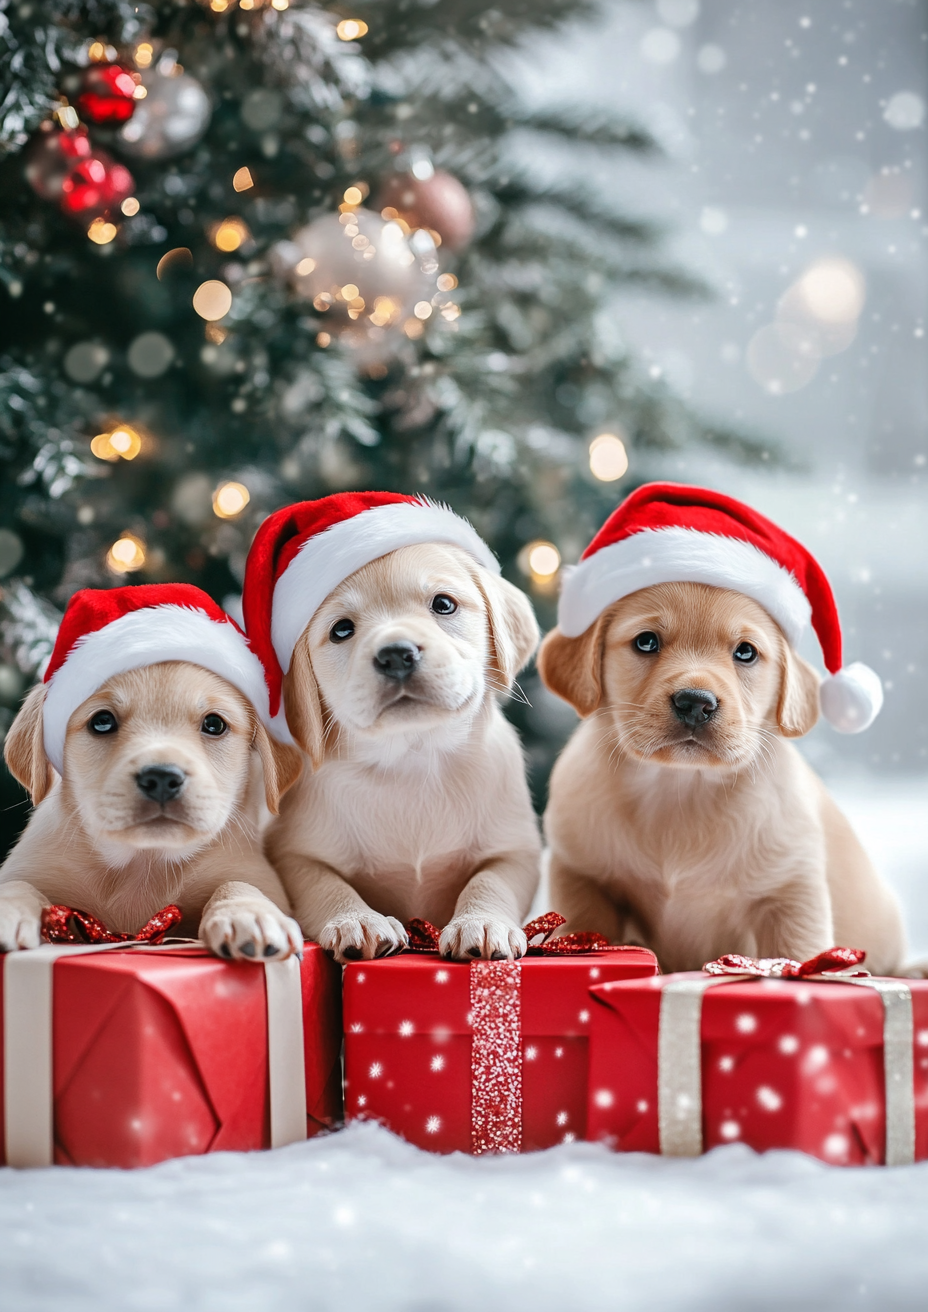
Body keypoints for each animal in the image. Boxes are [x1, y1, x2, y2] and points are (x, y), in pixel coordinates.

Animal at [242, 493, 540, 965]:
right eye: (342, 630)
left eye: (443, 604)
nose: (396, 654)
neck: (412, 758)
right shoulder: (292, 852)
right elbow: (324, 884)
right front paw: (357, 919)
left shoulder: (517, 850)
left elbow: (490, 881)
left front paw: (482, 922)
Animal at [538, 482, 908, 976]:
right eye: (646, 642)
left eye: (746, 652)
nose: (695, 703)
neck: (681, 789)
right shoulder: (582, 877)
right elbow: (583, 926)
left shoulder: (791, 892)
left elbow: (798, 954)